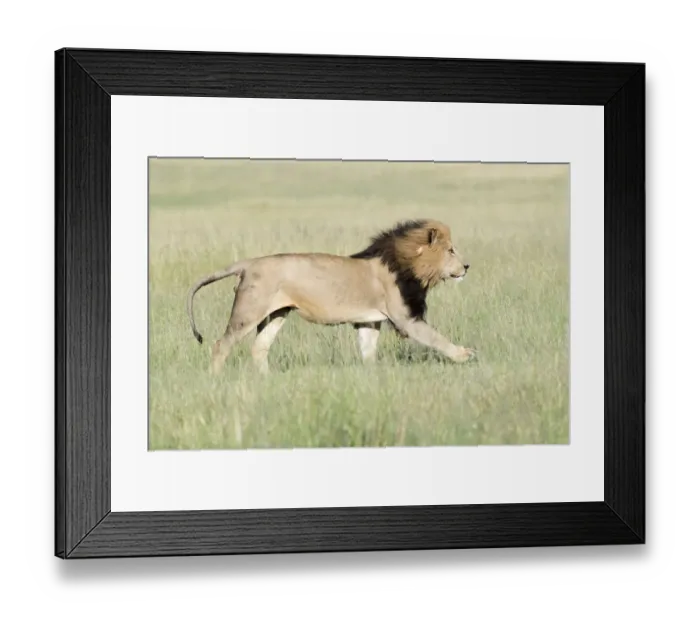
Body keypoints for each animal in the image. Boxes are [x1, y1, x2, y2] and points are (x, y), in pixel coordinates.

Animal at [186, 219, 476, 374]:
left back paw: (267, 380)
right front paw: (465, 354)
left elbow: (368, 351)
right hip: (248, 312)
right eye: (451, 250)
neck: (406, 264)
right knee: (221, 345)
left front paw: (373, 376)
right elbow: (436, 338)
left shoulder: (369, 320)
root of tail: (248, 263)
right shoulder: (405, 318)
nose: (466, 267)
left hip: (276, 314)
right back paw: (215, 379)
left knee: (259, 348)